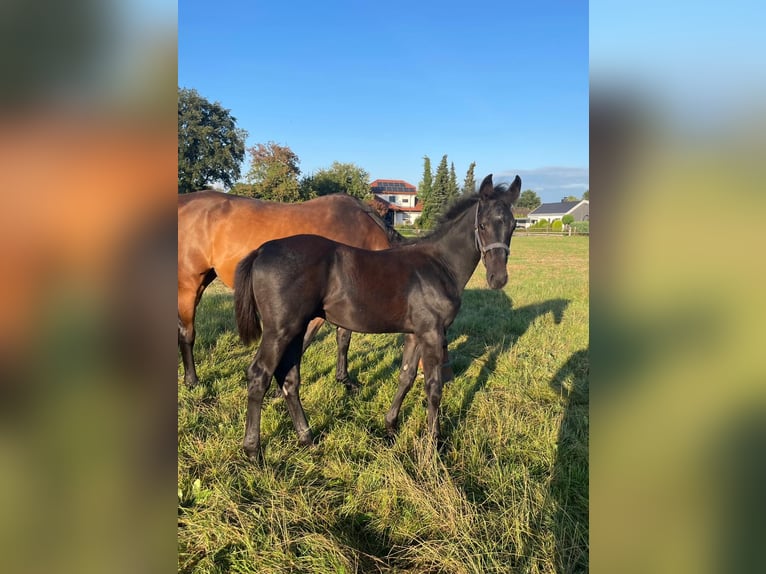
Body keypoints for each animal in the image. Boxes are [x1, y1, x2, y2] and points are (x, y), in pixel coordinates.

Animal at [234, 173, 520, 462]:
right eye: (482, 225)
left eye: (513, 225)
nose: (498, 278)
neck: (439, 265)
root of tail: (261, 251)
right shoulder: (432, 333)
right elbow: (433, 387)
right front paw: (434, 445)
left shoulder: (415, 334)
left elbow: (406, 377)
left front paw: (390, 426)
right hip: (280, 331)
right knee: (259, 375)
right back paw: (253, 451)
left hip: (296, 329)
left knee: (289, 379)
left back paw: (307, 439)